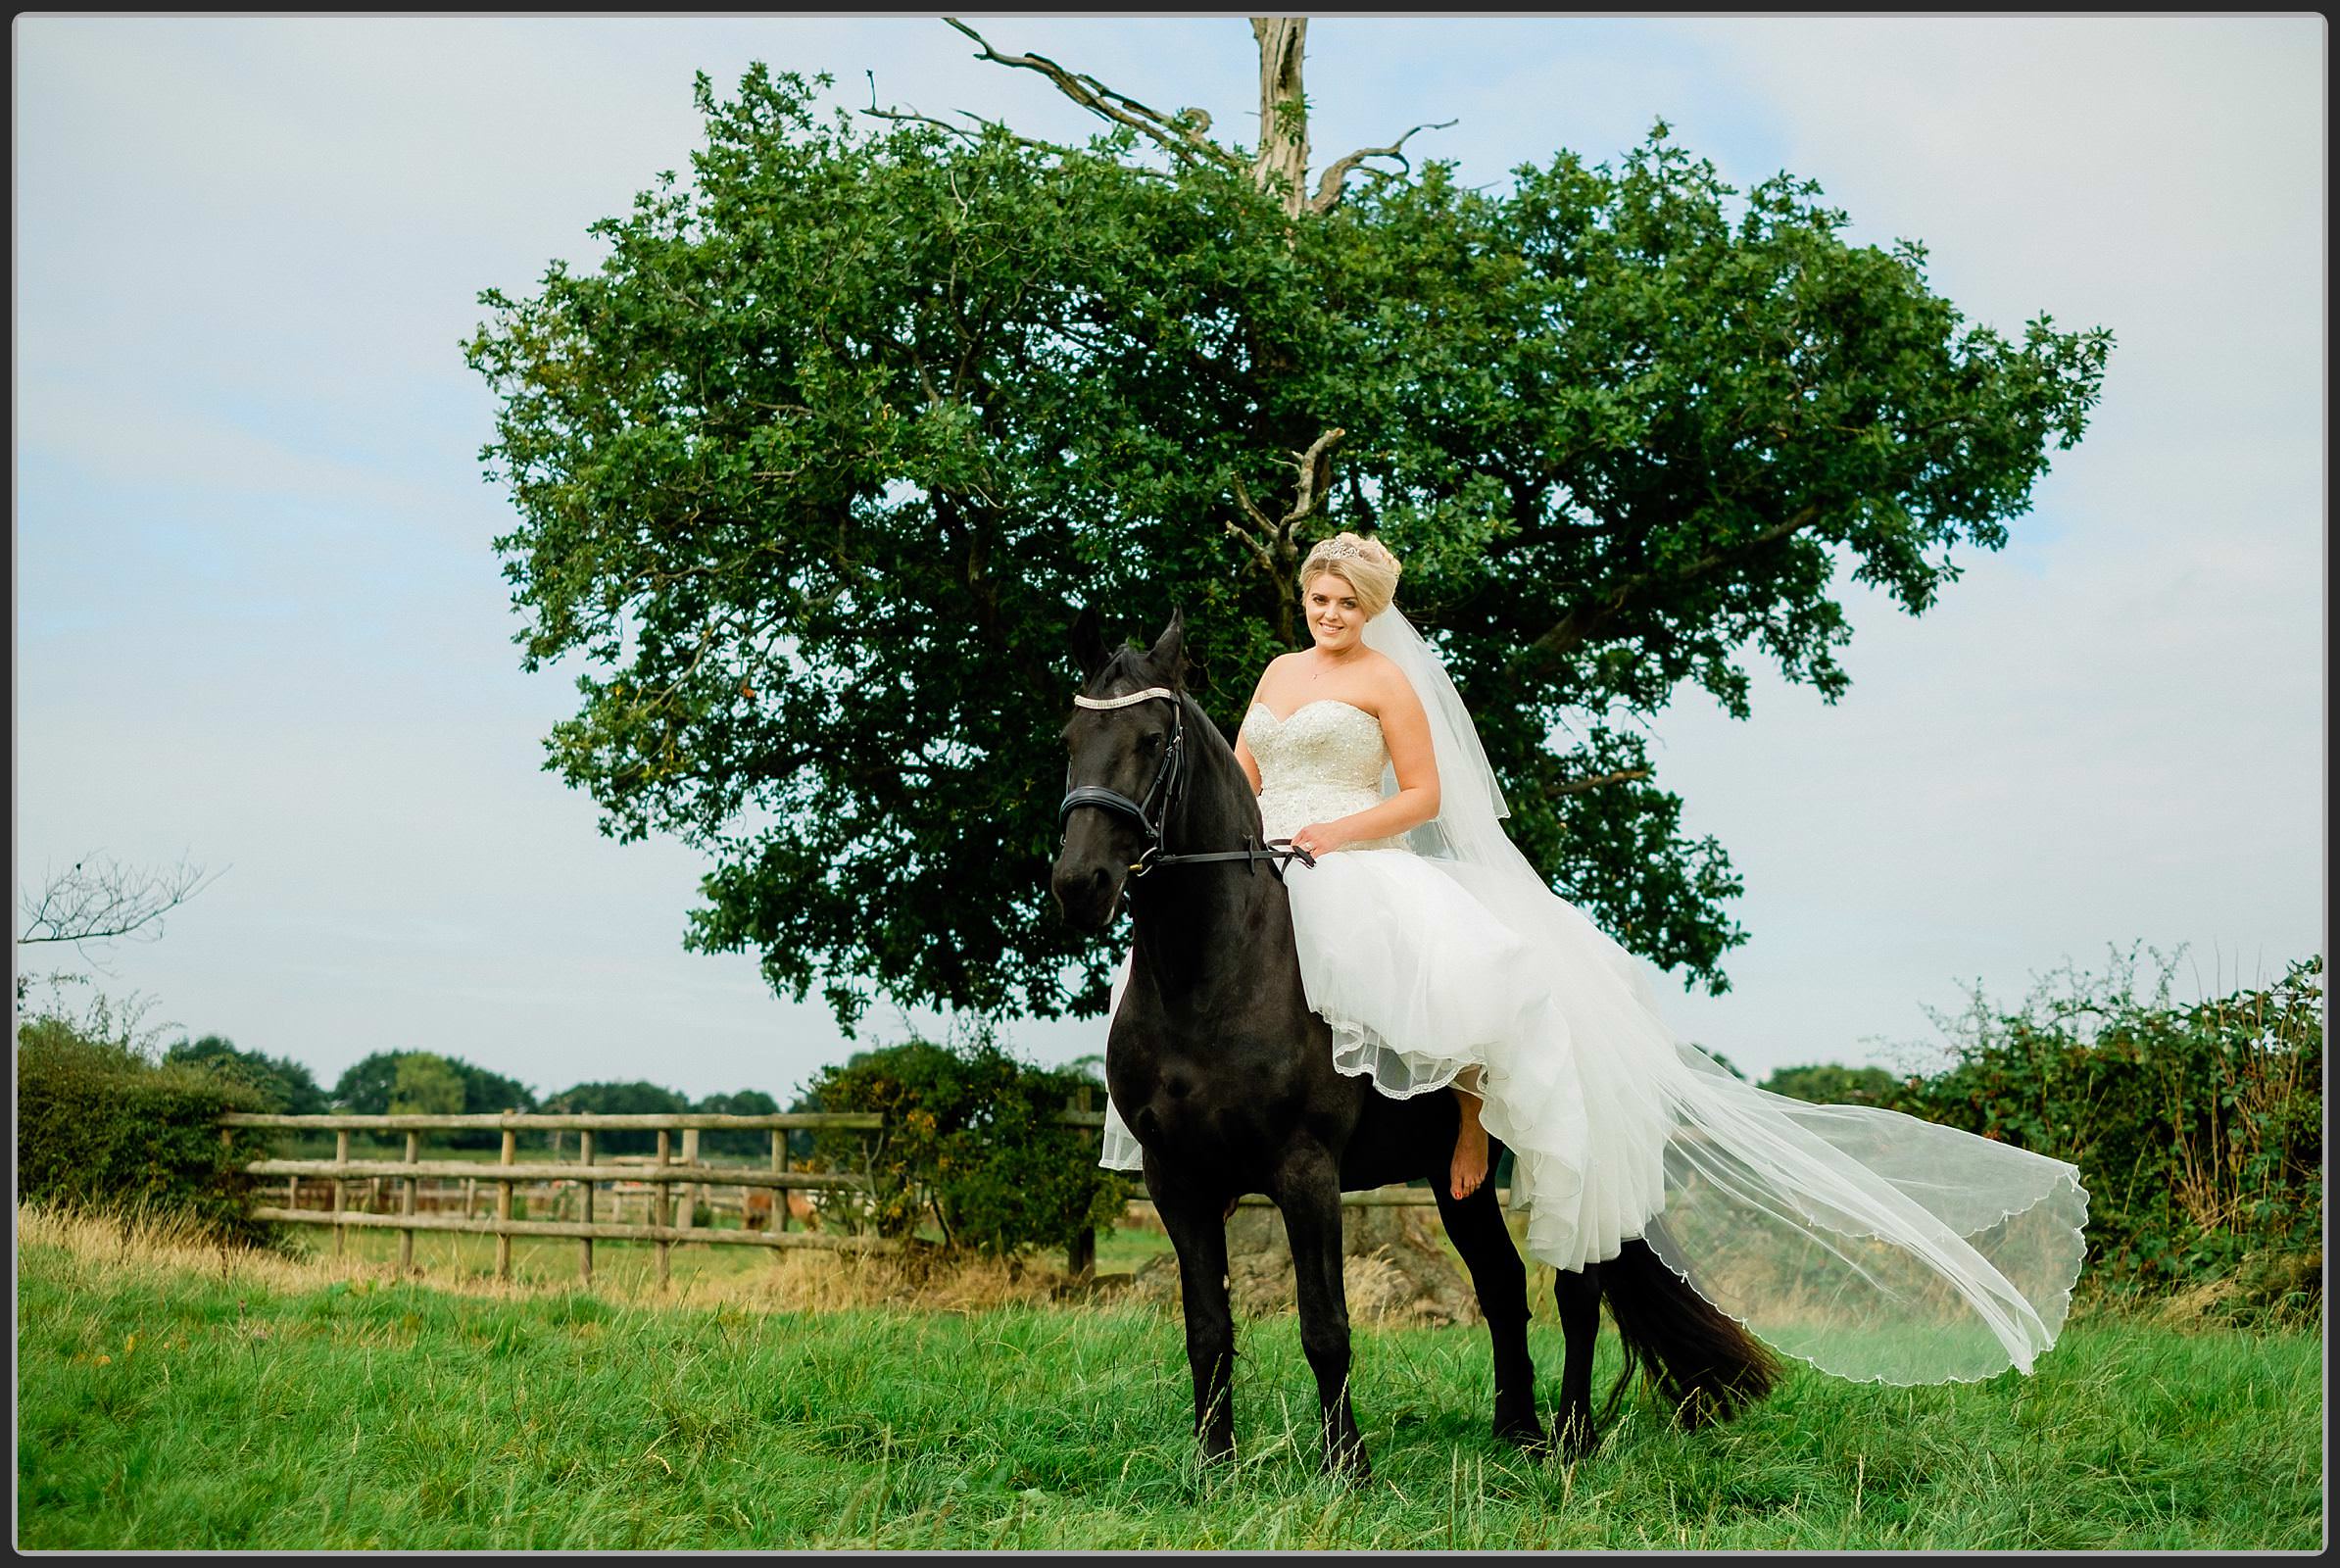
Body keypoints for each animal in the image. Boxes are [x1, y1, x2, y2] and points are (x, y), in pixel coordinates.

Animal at [1048, 612, 1769, 1488]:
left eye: (1152, 740)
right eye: (1070, 737)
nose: (1079, 884)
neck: (1213, 978)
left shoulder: (1306, 1170)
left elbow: (1325, 1327)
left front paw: (1347, 1468)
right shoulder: (1175, 1178)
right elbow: (1207, 1329)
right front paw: (1214, 1467)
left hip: (1571, 1161)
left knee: (1576, 1292)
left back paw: (1571, 1439)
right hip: (1458, 1180)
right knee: (1502, 1285)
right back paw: (1517, 1431)